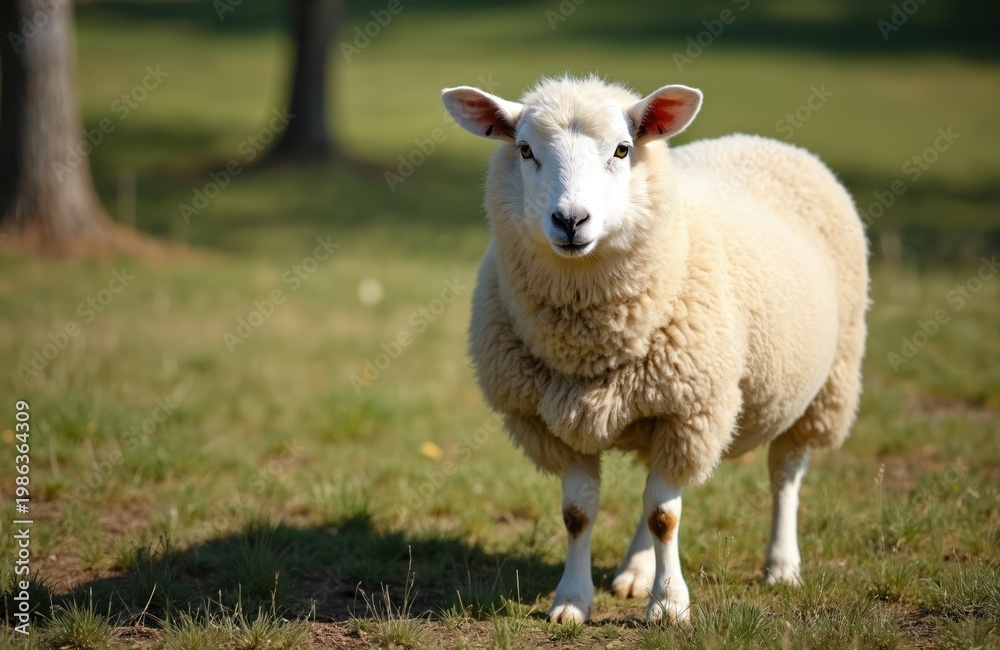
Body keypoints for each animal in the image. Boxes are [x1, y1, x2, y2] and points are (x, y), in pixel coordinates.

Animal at [441, 75, 869, 625]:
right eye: (525, 150)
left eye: (623, 150)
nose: (570, 220)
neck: (589, 339)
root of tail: (766, 142)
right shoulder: (554, 421)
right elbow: (579, 515)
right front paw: (572, 601)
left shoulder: (688, 411)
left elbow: (665, 516)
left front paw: (668, 605)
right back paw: (635, 571)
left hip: (824, 385)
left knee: (784, 477)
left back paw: (781, 565)